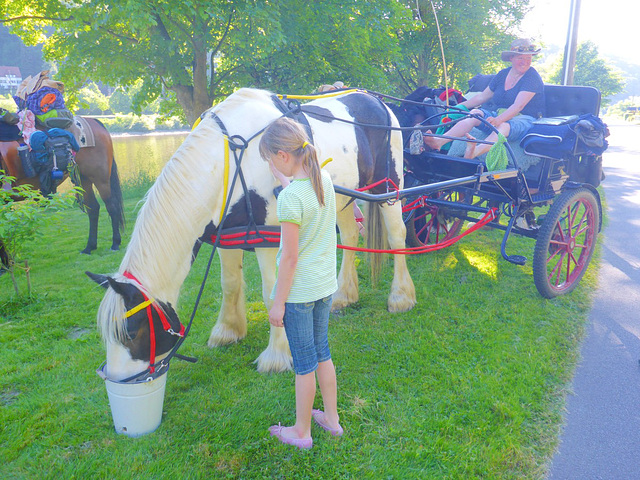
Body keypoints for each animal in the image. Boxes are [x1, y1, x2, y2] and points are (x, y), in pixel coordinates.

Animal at [0, 117, 124, 255]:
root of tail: (93, 121)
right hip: (83, 180)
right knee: (93, 208)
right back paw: (89, 247)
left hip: (100, 178)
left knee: (112, 206)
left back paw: (115, 243)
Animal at [87, 88, 416, 380]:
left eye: (131, 332)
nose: (116, 377)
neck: (230, 163)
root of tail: (378, 101)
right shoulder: (226, 238)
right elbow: (230, 284)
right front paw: (228, 330)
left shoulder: (270, 239)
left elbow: (273, 296)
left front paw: (277, 355)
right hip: (343, 196)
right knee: (349, 236)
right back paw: (343, 295)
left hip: (388, 186)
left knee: (397, 235)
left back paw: (400, 296)